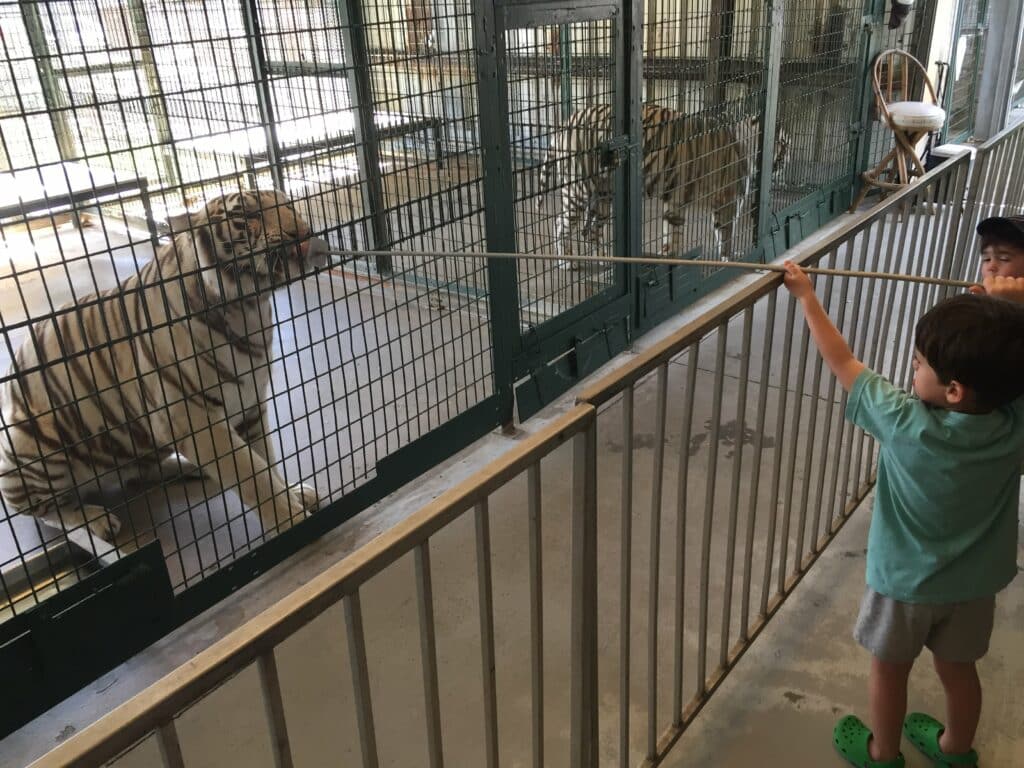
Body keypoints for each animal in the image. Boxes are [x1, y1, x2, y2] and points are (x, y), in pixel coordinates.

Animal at [0, 189, 325, 561]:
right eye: (249, 216)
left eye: (289, 206)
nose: (302, 234)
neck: (250, 307)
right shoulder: (193, 417)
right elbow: (255, 478)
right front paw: (295, 521)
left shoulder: (249, 404)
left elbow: (266, 461)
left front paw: (295, 493)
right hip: (31, 444)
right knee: (49, 511)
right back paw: (95, 519)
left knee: (137, 473)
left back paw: (186, 467)